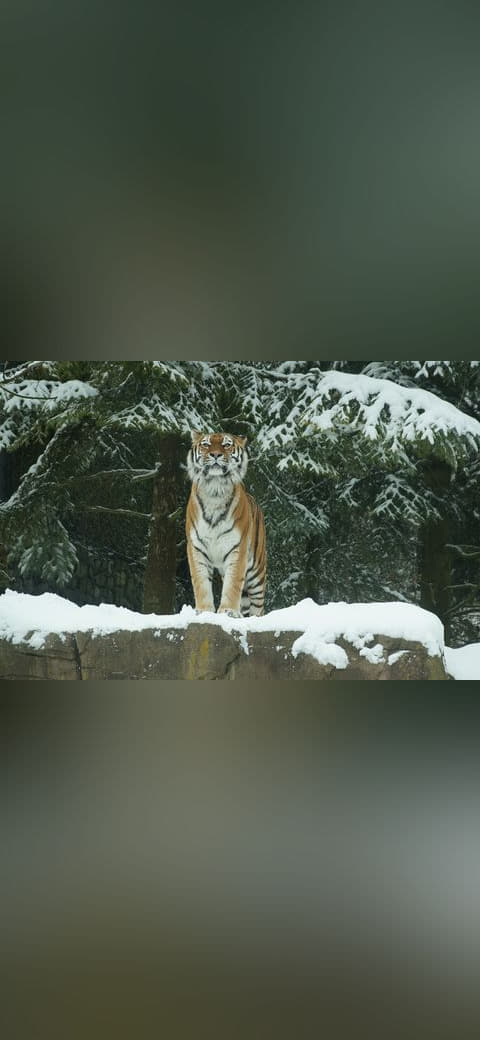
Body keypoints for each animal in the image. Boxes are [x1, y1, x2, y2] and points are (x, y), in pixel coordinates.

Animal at [186, 431, 267, 617]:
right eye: (206, 444)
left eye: (226, 445)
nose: (215, 454)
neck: (215, 490)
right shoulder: (196, 547)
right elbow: (201, 582)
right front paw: (204, 611)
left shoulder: (238, 547)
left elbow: (233, 583)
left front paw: (228, 611)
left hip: (257, 574)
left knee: (258, 607)